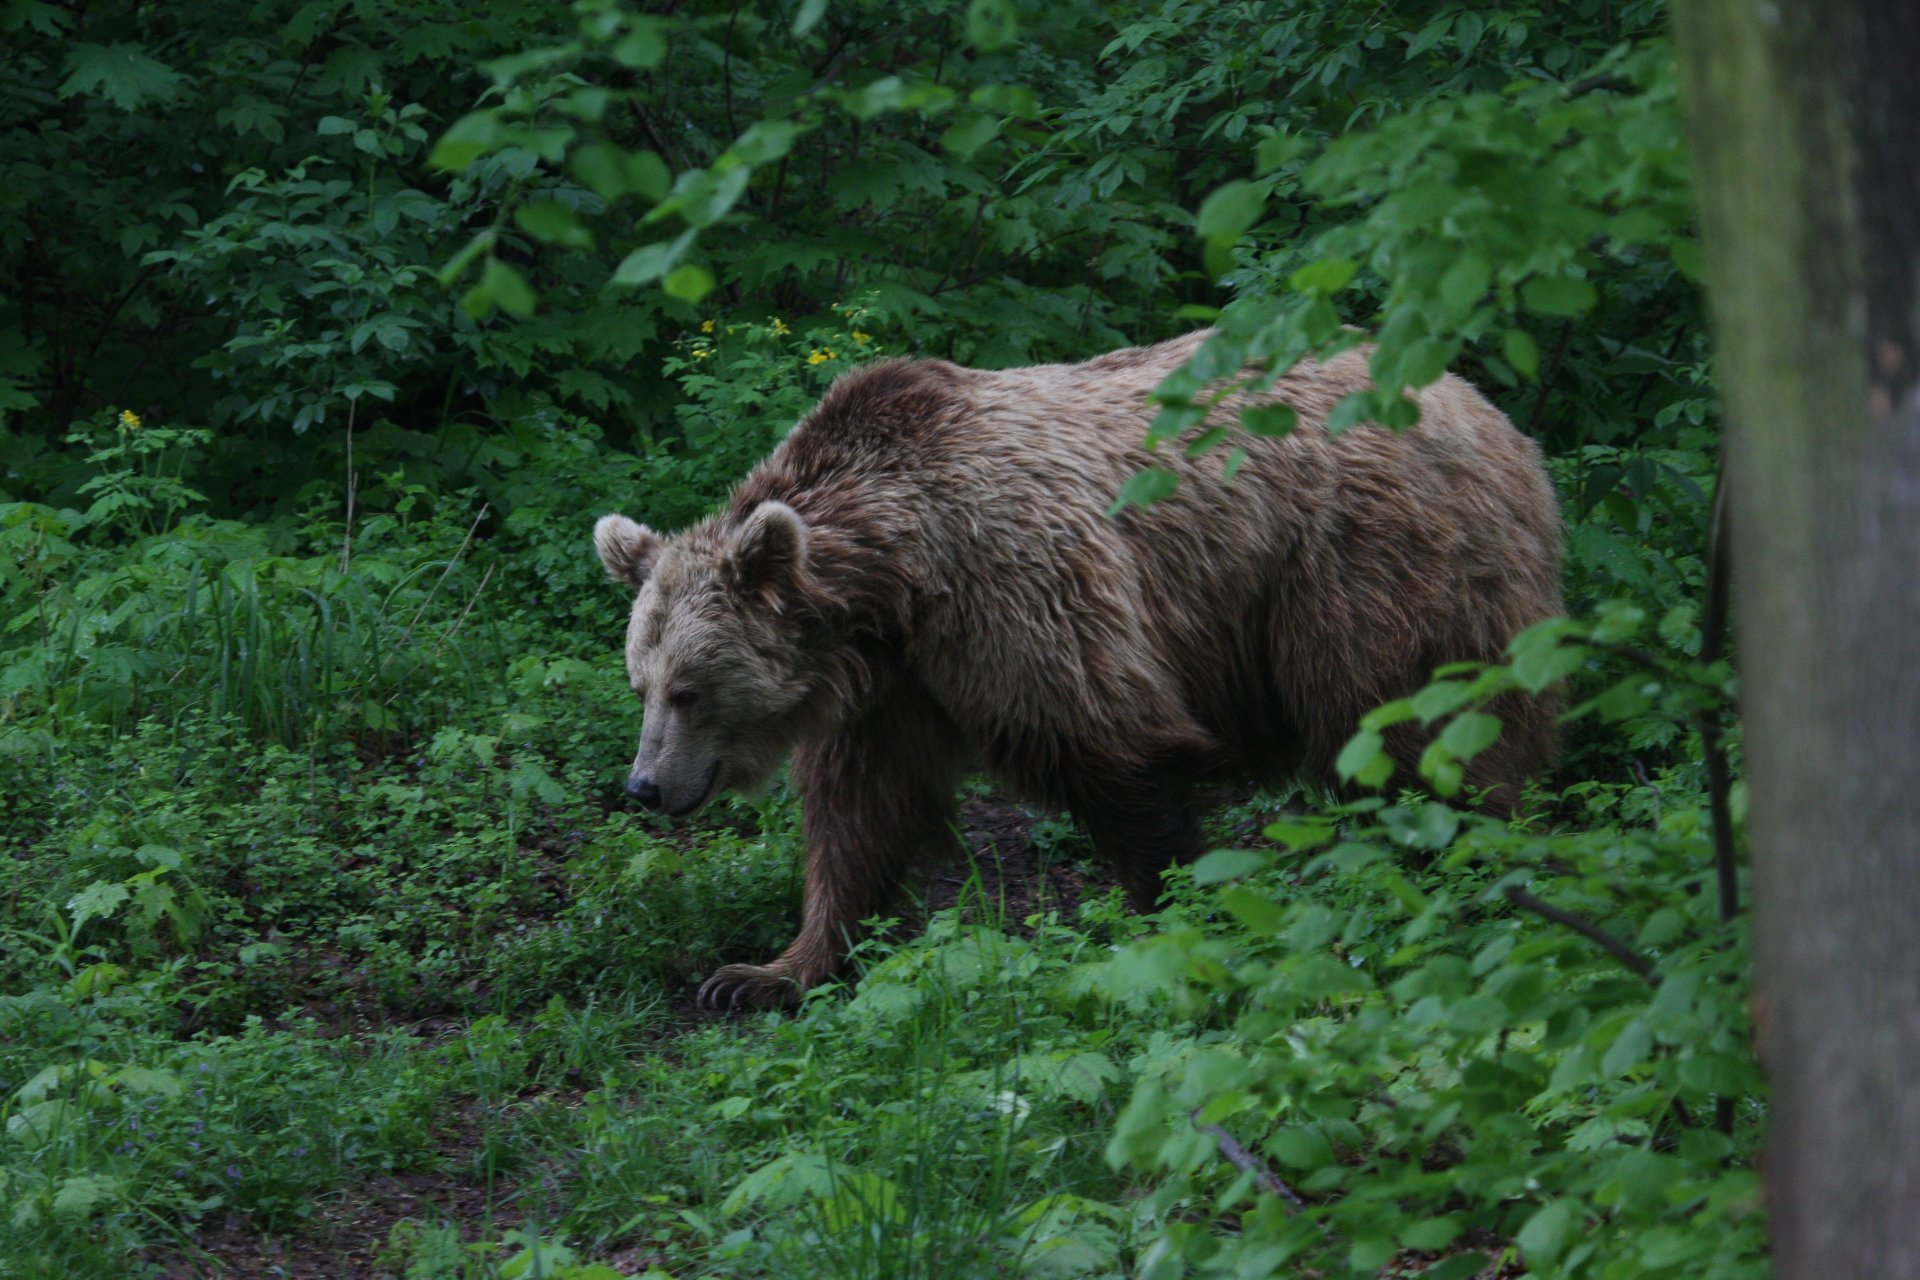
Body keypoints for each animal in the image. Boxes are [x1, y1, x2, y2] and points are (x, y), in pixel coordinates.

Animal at [595, 330, 1559, 1013]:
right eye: (642, 685)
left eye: (689, 689)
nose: (645, 787)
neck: (892, 580)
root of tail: (1480, 406)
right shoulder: (895, 687)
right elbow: (858, 817)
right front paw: (764, 971)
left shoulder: (1015, 591)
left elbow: (1116, 749)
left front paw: (1164, 921)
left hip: (1361, 572)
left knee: (1404, 729)